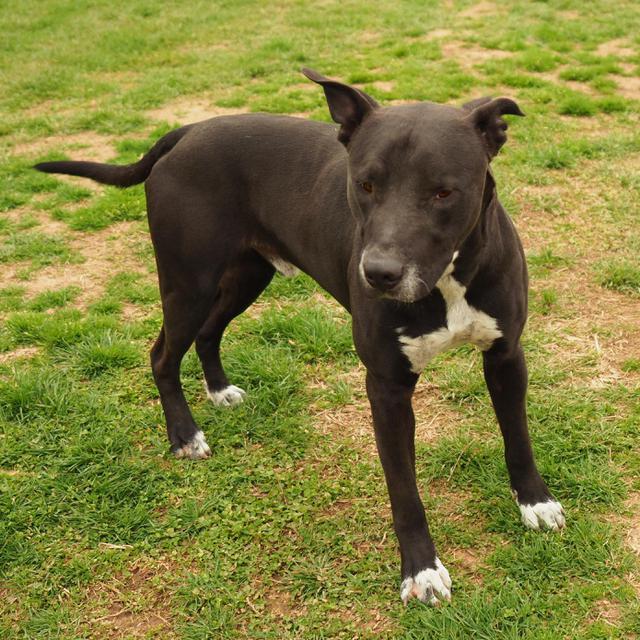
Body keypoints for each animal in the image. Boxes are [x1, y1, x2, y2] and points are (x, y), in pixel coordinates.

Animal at [35, 69, 564, 604]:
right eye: (364, 184)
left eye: (443, 193)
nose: (378, 274)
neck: (447, 281)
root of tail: (188, 131)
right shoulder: (387, 388)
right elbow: (405, 492)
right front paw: (421, 570)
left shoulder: (506, 356)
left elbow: (518, 436)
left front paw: (535, 500)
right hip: (189, 283)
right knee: (162, 355)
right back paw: (184, 435)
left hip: (246, 276)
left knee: (208, 333)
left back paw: (219, 390)